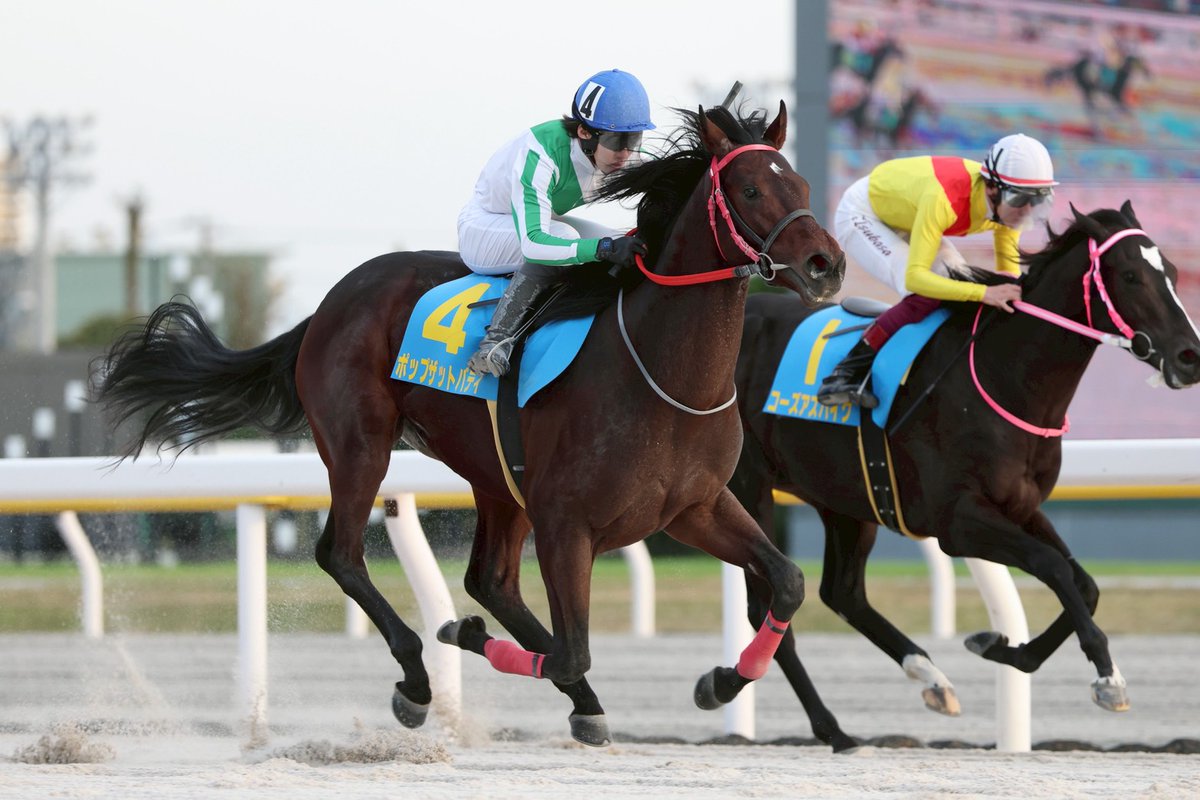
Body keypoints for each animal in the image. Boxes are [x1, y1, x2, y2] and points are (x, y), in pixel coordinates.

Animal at [95, 103, 847, 748]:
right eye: (750, 188)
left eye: (802, 182)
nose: (827, 264)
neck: (659, 372)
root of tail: (331, 302)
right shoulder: (566, 521)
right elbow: (571, 650)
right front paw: (459, 637)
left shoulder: (694, 505)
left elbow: (786, 582)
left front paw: (721, 682)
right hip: (361, 445)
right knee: (343, 554)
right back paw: (418, 680)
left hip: (495, 477)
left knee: (493, 581)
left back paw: (572, 699)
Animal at [727, 202, 1200, 743]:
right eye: (1130, 275)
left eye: (1173, 271)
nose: (1190, 357)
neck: (1005, 377)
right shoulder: (957, 521)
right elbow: (1054, 566)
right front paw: (1108, 677)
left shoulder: (1021, 506)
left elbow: (1085, 585)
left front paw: (1001, 647)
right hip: (750, 487)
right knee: (767, 606)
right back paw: (826, 727)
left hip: (842, 495)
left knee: (842, 592)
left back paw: (929, 677)